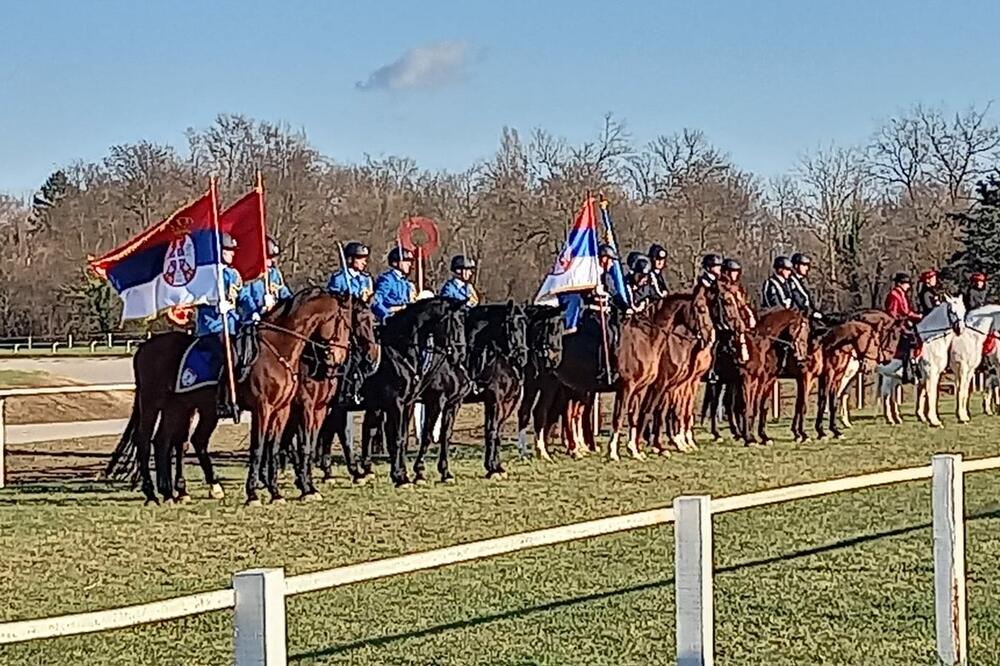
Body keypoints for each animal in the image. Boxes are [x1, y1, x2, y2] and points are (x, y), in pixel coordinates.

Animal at [876, 294, 968, 426]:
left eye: (963, 310)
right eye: (952, 311)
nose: (960, 329)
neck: (929, 340)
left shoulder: (930, 374)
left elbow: (924, 393)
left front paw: (925, 417)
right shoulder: (930, 372)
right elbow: (932, 393)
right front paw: (934, 420)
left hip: (893, 376)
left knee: (890, 394)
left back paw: (895, 418)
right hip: (887, 375)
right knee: (886, 393)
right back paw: (890, 418)